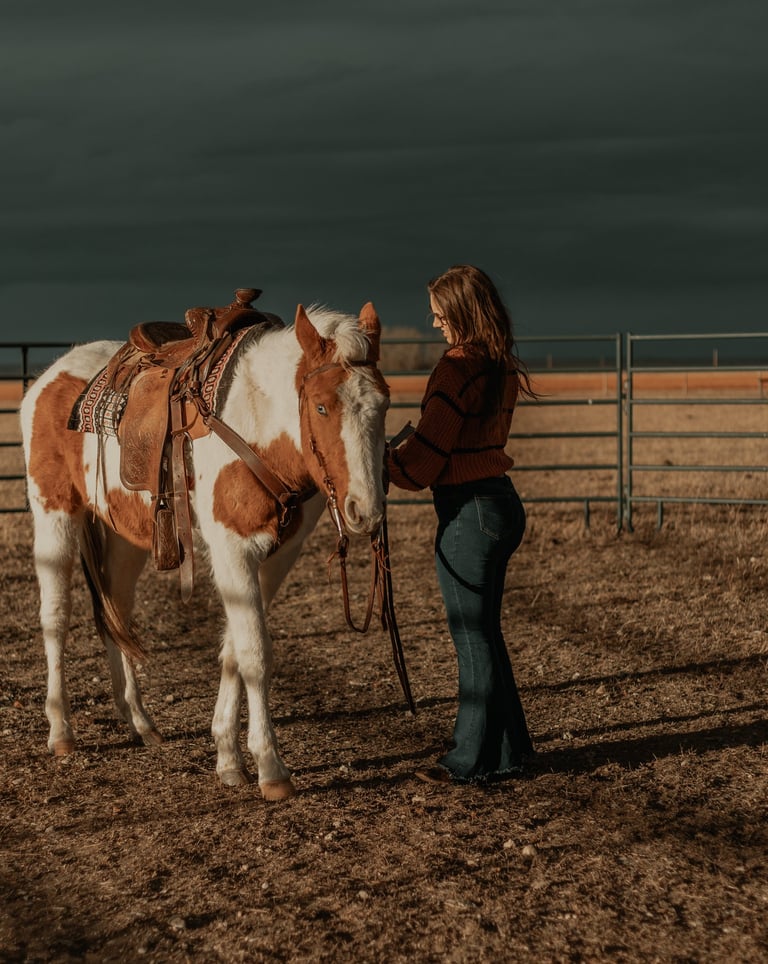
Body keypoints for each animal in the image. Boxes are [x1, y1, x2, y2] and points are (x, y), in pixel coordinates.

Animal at [20, 301, 390, 800]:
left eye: (384, 403)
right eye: (322, 406)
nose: (364, 512)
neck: (254, 420)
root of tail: (50, 376)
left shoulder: (278, 556)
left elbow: (234, 648)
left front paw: (228, 758)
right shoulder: (232, 549)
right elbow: (255, 654)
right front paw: (271, 768)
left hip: (125, 538)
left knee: (117, 613)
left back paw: (140, 722)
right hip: (54, 514)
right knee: (56, 618)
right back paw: (61, 731)